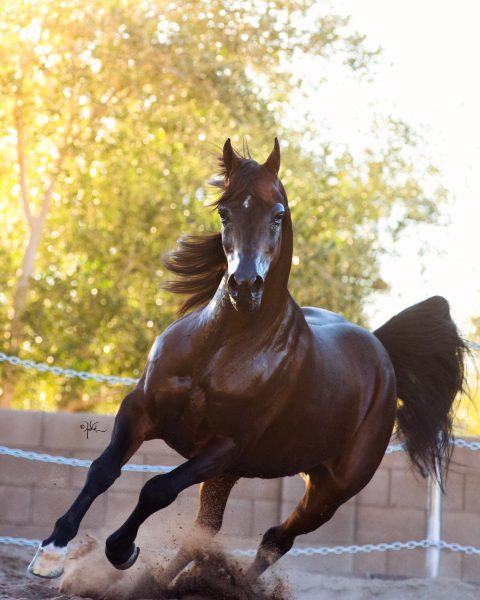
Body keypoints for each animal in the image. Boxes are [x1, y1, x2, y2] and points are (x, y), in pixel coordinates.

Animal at [29, 139, 464, 580]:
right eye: (225, 211)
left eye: (278, 214)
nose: (244, 285)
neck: (218, 350)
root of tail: (379, 348)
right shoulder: (141, 410)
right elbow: (103, 470)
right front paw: (51, 552)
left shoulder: (224, 446)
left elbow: (157, 489)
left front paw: (122, 550)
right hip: (232, 474)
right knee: (207, 531)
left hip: (329, 489)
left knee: (275, 540)